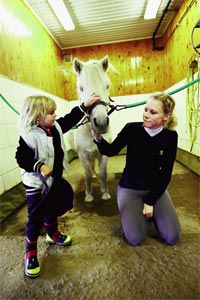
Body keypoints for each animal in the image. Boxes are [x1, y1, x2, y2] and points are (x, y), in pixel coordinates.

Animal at [70, 55, 111, 206]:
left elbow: (103, 173)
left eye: (107, 86)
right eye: (81, 88)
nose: (101, 122)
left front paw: (105, 193)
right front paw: (88, 196)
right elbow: (87, 174)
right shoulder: (83, 154)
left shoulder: (103, 153)